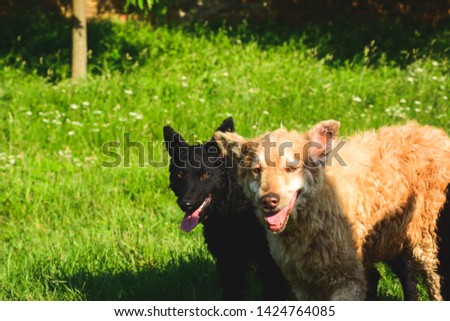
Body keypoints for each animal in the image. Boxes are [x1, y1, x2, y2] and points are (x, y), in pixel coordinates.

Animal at [214, 121, 450, 298]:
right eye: (256, 170)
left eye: (291, 168)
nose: (269, 200)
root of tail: (437, 133)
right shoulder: (302, 284)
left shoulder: (347, 280)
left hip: (429, 244)